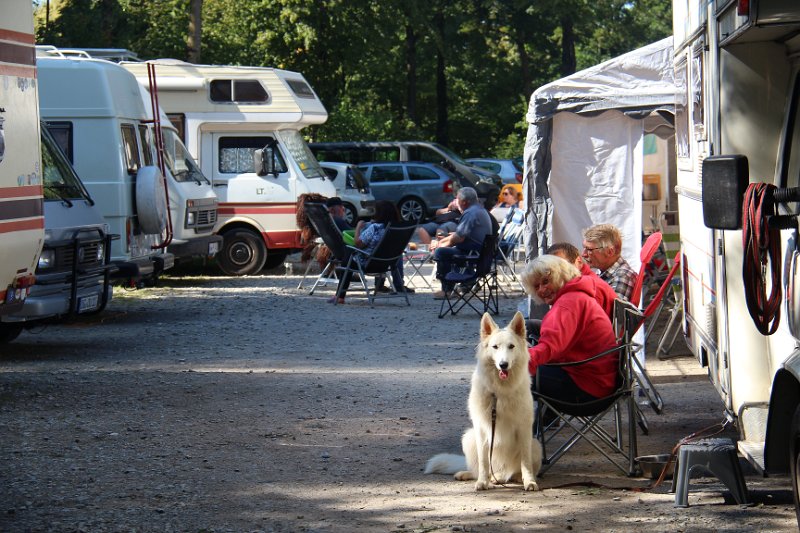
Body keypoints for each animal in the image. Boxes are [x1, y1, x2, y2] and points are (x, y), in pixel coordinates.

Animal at [424, 312, 544, 490]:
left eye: (511, 346)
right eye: (495, 347)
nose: (503, 364)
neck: (500, 391)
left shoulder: (524, 428)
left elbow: (525, 462)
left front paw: (529, 481)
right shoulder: (481, 429)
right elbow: (483, 462)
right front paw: (482, 482)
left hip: (535, 445)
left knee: (509, 471)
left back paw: (507, 477)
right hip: (468, 438)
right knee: (484, 469)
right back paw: (475, 475)